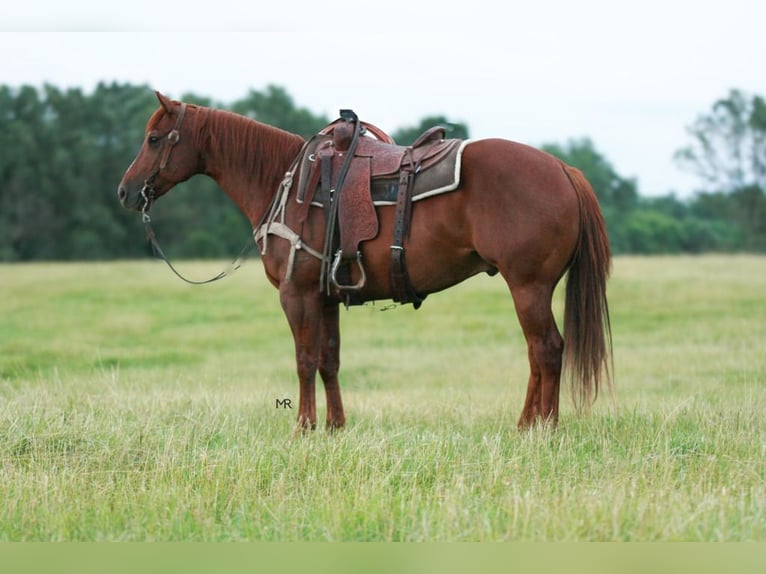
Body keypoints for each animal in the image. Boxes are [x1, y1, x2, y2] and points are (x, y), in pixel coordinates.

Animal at [117, 91, 612, 431]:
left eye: (154, 138)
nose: (125, 191)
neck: (285, 182)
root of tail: (562, 169)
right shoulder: (326, 296)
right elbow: (329, 359)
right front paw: (335, 426)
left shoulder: (296, 294)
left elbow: (303, 358)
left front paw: (303, 427)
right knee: (537, 353)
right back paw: (526, 424)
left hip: (528, 287)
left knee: (546, 349)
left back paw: (543, 428)